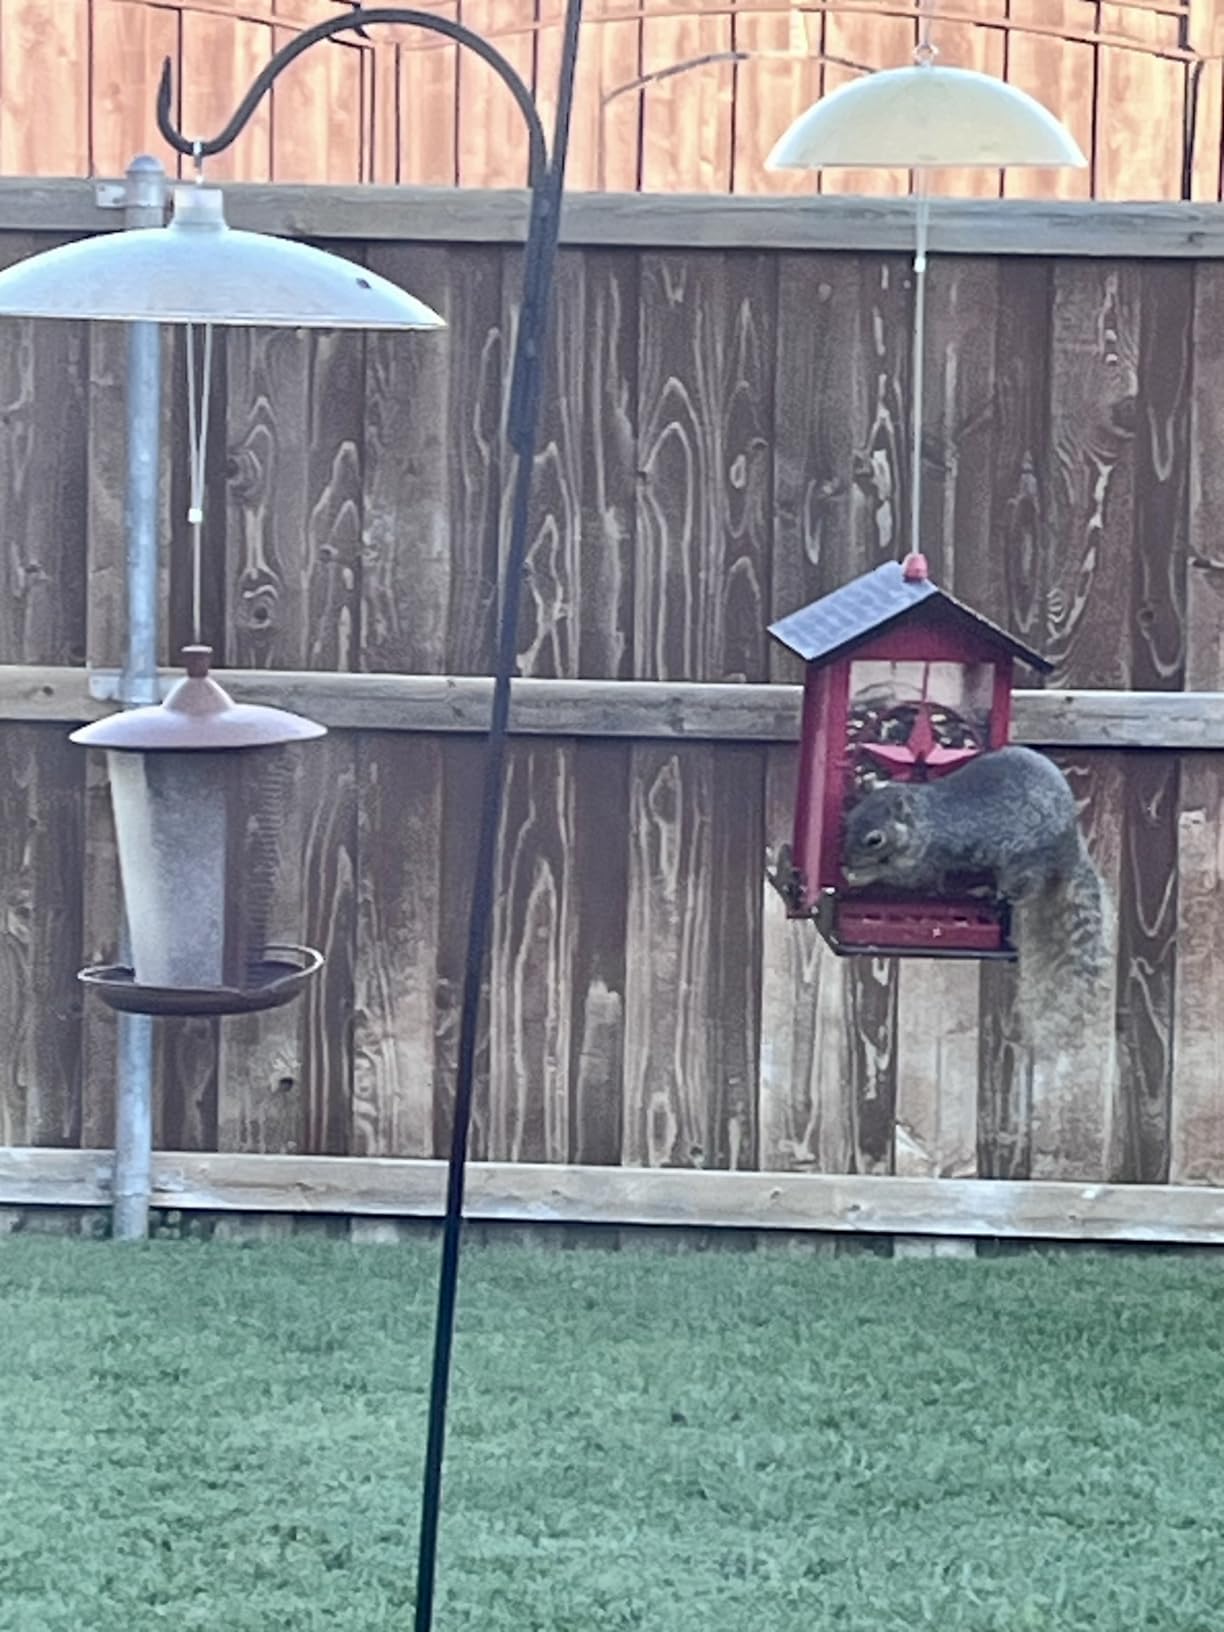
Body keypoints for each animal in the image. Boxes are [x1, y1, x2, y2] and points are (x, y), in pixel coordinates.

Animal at [840, 746, 1108, 1027]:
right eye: (851, 817)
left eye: (875, 839)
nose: (846, 859)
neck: (924, 819)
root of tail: (1070, 843)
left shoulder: (925, 857)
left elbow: (905, 877)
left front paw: (861, 875)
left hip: (1023, 864)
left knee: (1025, 888)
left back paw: (989, 893)